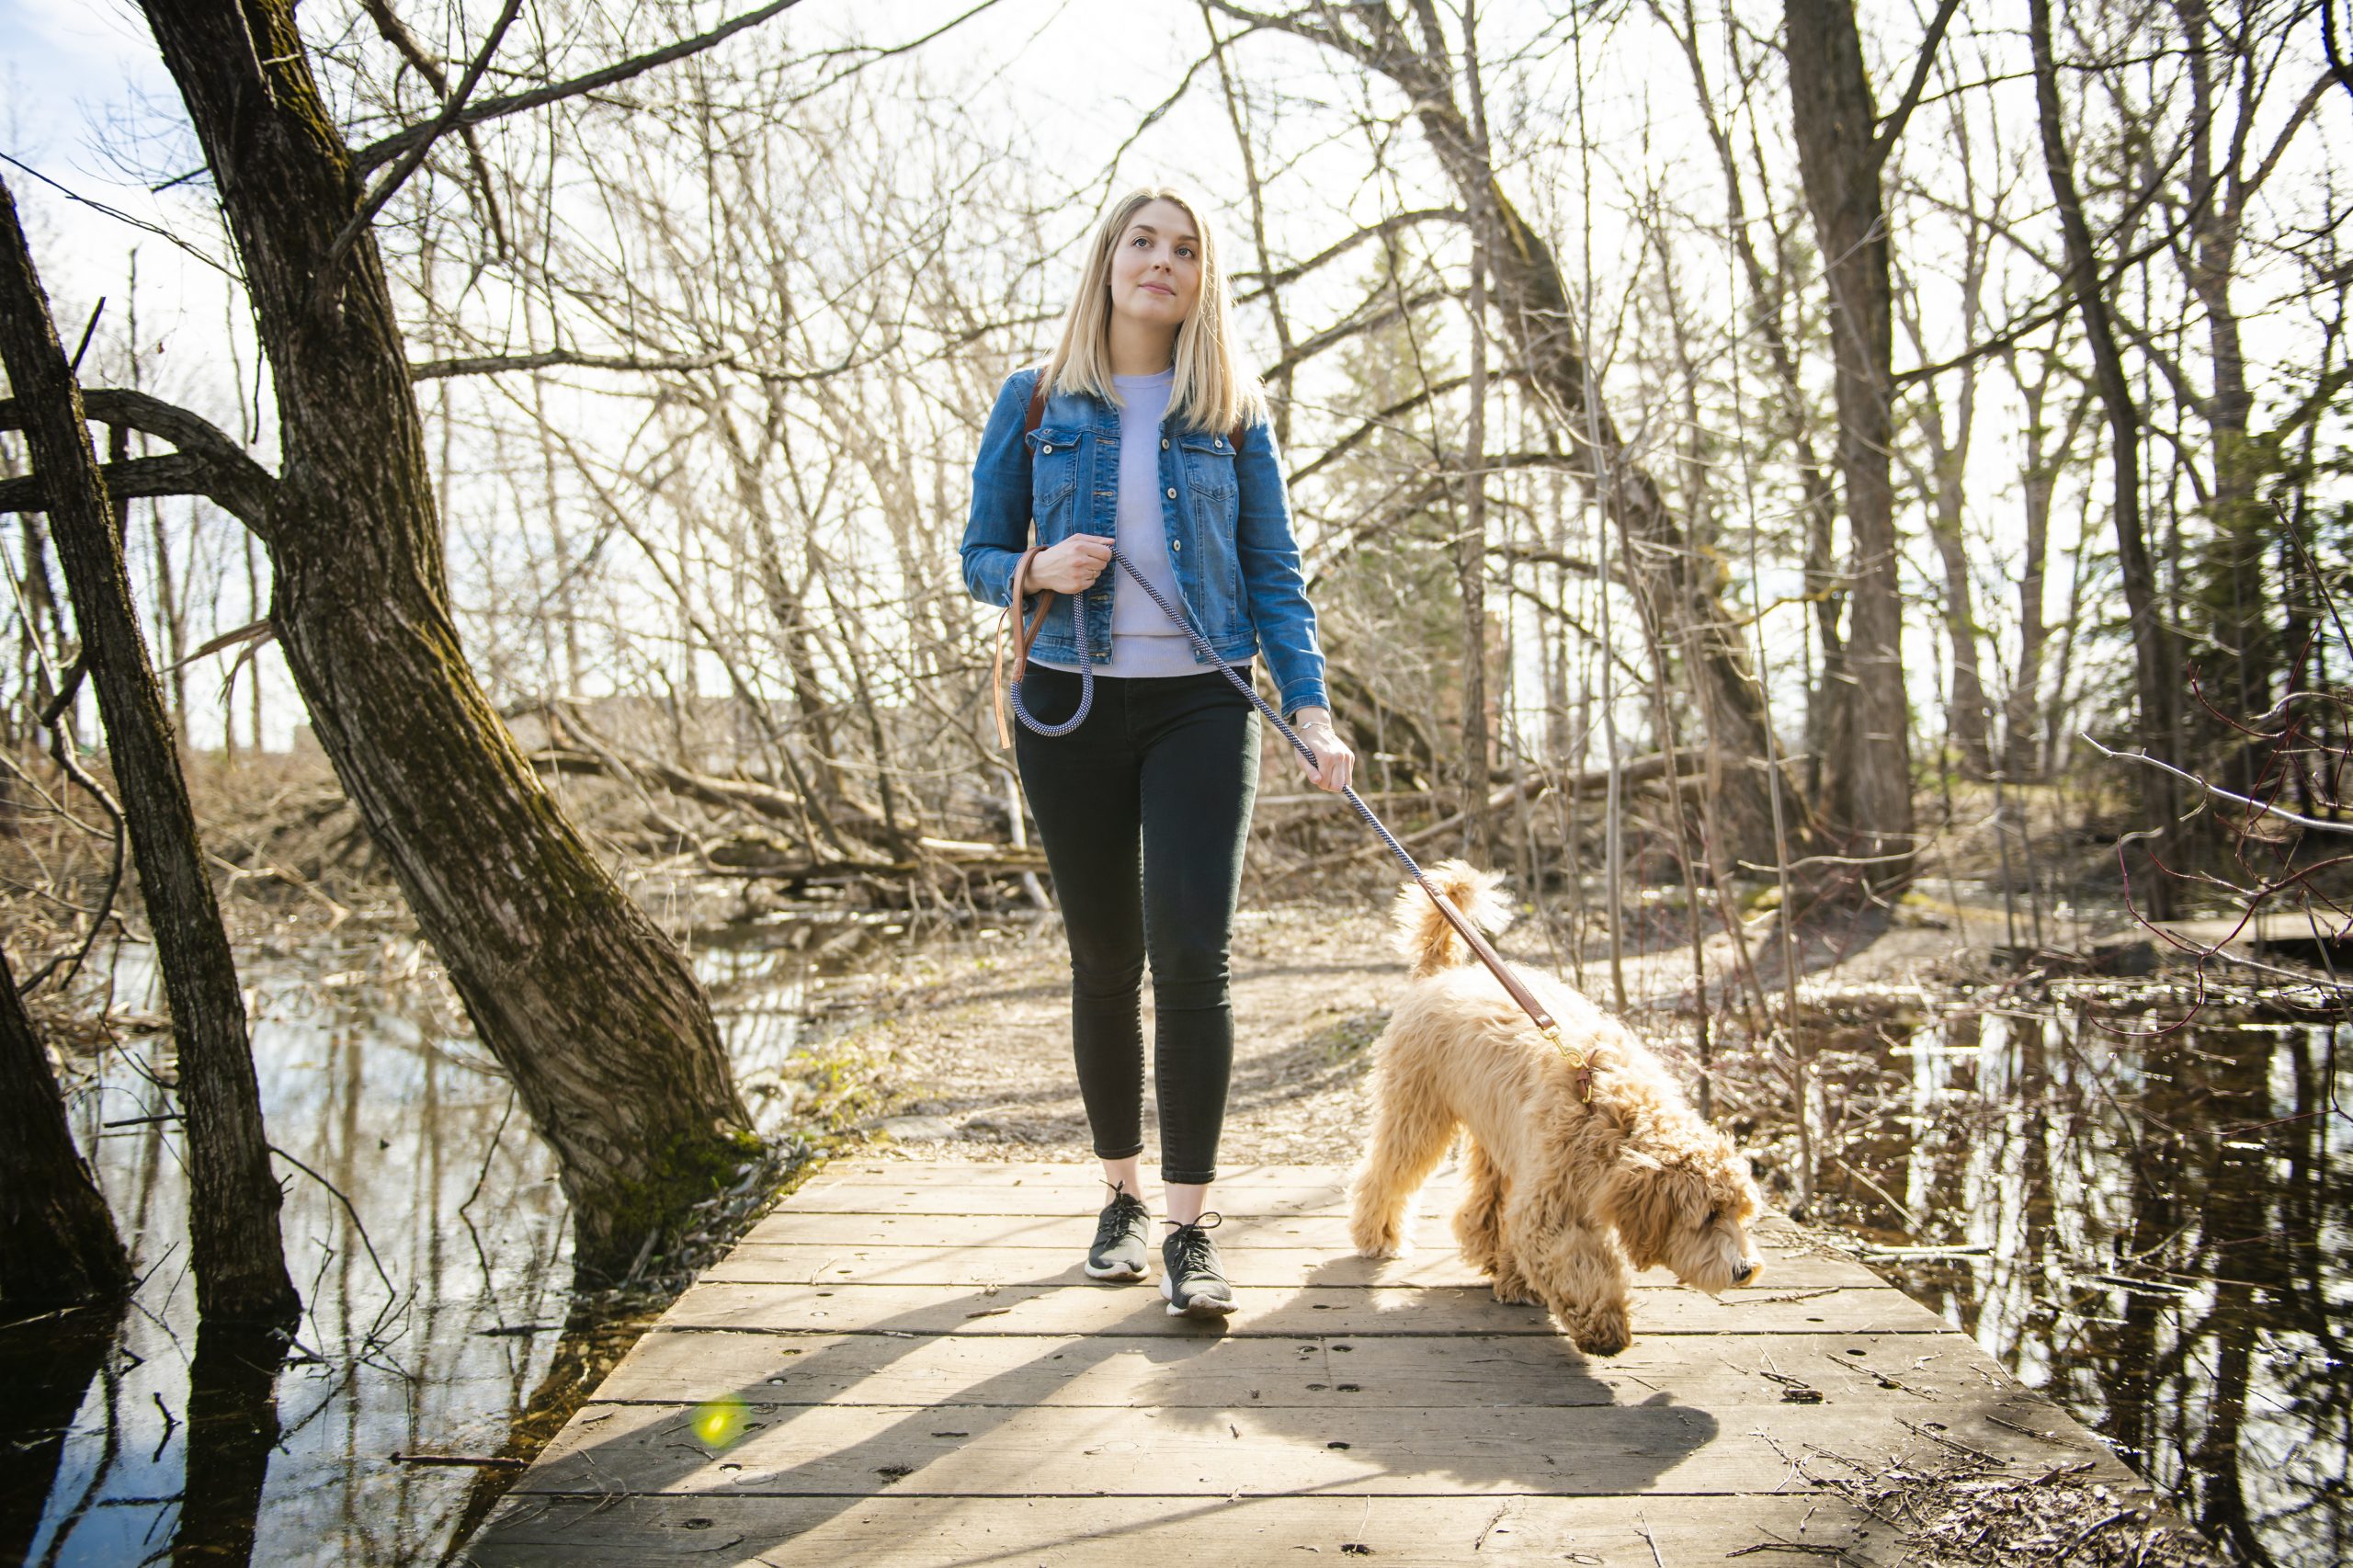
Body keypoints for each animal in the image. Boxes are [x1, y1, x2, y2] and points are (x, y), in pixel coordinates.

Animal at [1346, 861, 1769, 1346]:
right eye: (1708, 1215)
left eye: (1739, 1213)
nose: (1744, 1270)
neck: (1616, 1116)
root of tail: (1438, 974)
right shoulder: (1550, 1204)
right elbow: (1575, 1262)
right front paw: (1603, 1325)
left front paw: (1519, 1283)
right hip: (1417, 1115)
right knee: (1386, 1174)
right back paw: (1378, 1235)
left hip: (1498, 1137)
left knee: (1485, 1204)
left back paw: (1493, 1257)